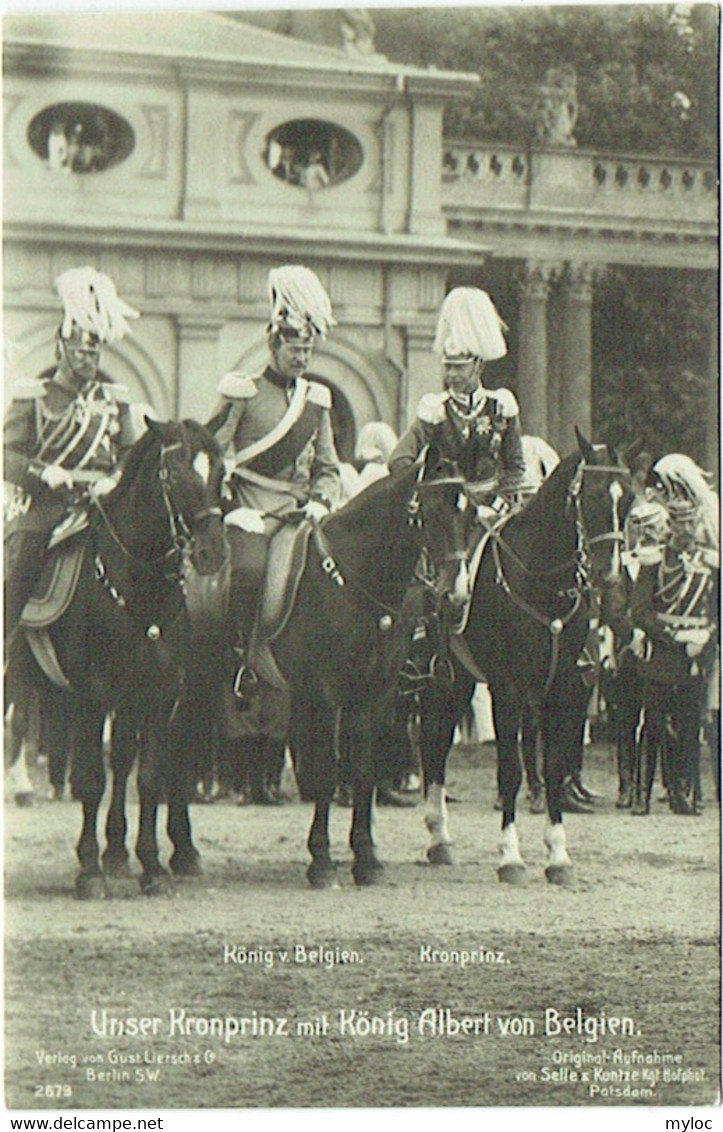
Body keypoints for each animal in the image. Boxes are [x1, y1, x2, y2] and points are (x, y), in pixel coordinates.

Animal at [5, 421, 226, 896]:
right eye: (173, 476)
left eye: (221, 474)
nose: (213, 553)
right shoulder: (92, 696)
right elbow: (92, 780)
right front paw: (90, 871)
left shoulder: (157, 695)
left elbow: (147, 777)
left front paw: (149, 866)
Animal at [251, 448, 472, 882]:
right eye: (433, 511)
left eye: (471, 514)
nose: (455, 598)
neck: (353, 581)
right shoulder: (325, 694)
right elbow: (326, 768)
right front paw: (321, 861)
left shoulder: (375, 692)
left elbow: (364, 767)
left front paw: (367, 858)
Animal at [418, 430, 633, 882]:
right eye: (591, 496)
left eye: (629, 500)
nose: (609, 575)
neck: (539, 582)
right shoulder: (508, 689)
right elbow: (512, 770)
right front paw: (511, 856)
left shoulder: (563, 688)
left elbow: (552, 767)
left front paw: (558, 856)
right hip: (438, 678)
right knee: (432, 741)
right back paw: (438, 834)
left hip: (461, 678)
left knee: (437, 741)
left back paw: (441, 838)